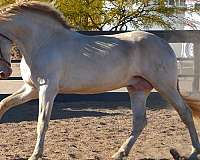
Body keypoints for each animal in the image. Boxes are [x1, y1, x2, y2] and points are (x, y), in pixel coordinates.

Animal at [0, 1, 200, 160]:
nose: (5, 72)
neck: (44, 42)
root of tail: (164, 44)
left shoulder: (47, 89)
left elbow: (42, 122)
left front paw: (35, 155)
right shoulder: (31, 88)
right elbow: (4, 104)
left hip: (165, 86)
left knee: (185, 113)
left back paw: (193, 152)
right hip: (138, 89)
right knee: (139, 121)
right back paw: (119, 153)